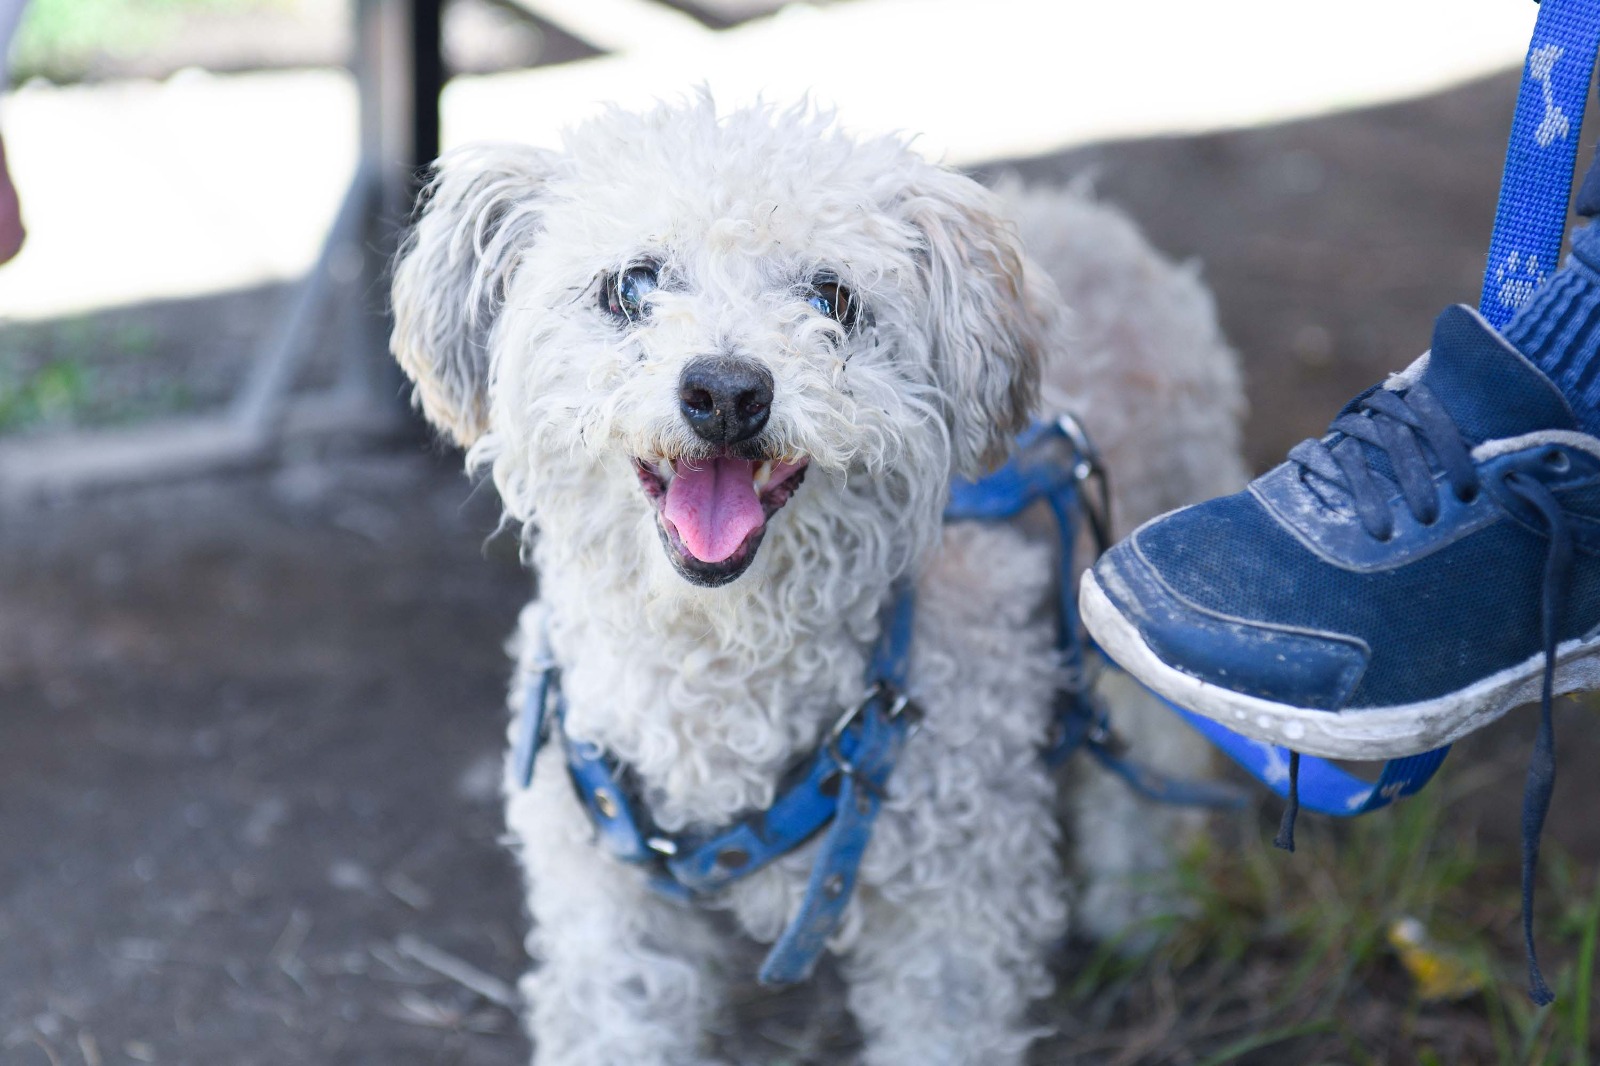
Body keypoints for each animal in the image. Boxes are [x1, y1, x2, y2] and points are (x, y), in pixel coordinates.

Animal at [390, 95, 1248, 1056]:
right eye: (632, 286)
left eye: (832, 297)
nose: (727, 392)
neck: (719, 663)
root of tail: (1093, 215)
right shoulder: (606, 910)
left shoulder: (955, 920)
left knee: (1149, 762)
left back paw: (1144, 909)